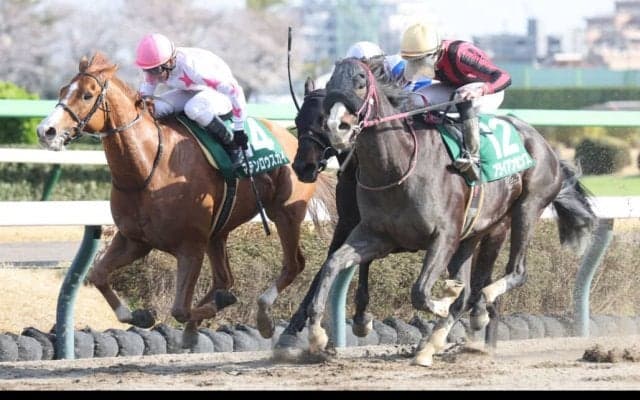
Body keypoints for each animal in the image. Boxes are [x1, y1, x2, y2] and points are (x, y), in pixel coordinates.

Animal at [36, 52, 334, 345]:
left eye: (87, 95)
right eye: (62, 90)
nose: (46, 130)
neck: (148, 167)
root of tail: (295, 140)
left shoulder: (190, 246)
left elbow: (180, 309)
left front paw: (210, 309)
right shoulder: (134, 240)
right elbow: (97, 275)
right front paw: (140, 315)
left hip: (284, 213)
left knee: (293, 264)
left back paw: (263, 317)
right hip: (218, 233)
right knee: (224, 279)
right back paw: (197, 327)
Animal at [289, 56, 596, 367]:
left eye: (361, 82)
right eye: (330, 85)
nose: (336, 127)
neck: (398, 166)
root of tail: (544, 143)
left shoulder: (443, 236)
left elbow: (421, 292)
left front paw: (442, 302)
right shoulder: (374, 234)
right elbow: (332, 265)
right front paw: (316, 334)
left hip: (523, 211)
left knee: (510, 274)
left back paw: (475, 317)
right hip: (472, 235)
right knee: (470, 290)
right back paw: (435, 342)